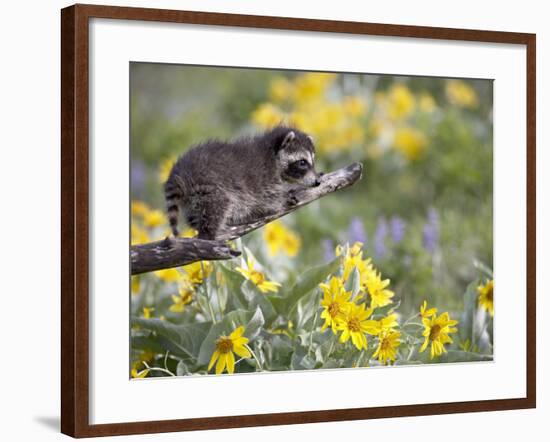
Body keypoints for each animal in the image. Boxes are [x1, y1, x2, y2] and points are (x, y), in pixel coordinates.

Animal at [164, 126, 324, 240]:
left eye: (313, 161)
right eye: (302, 162)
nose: (317, 182)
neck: (272, 153)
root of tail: (179, 173)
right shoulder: (264, 179)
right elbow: (268, 202)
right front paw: (284, 196)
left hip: (191, 199)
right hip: (208, 184)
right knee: (219, 204)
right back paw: (210, 233)